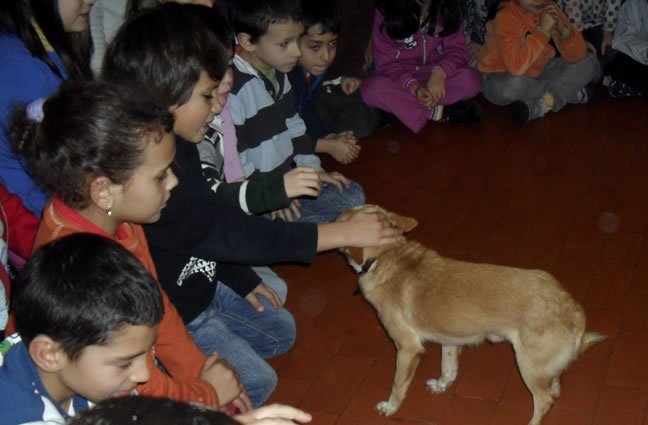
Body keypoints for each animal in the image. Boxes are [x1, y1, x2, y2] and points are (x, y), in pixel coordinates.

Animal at [336, 204, 604, 422]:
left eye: (341, 218)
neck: (385, 257)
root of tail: (571, 307)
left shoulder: (407, 348)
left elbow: (398, 385)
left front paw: (390, 408)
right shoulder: (449, 340)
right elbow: (448, 368)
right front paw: (441, 385)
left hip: (527, 365)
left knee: (544, 402)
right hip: (542, 363)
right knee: (556, 379)